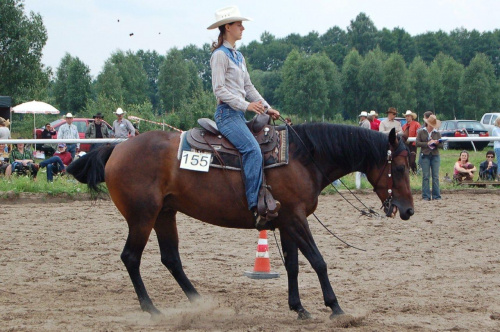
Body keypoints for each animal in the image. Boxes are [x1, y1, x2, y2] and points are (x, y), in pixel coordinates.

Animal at [66, 123, 414, 320]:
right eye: (398, 168)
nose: (408, 210)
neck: (302, 157)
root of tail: (117, 149)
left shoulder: (286, 221)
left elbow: (292, 265)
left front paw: (299, 308)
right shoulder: (295, 218)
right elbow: (318, 261)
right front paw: (336, 308)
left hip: (165, 214)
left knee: (170, 258)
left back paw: (199, 302)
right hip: (142, 216)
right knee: (131, 257)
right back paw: (150, 308)